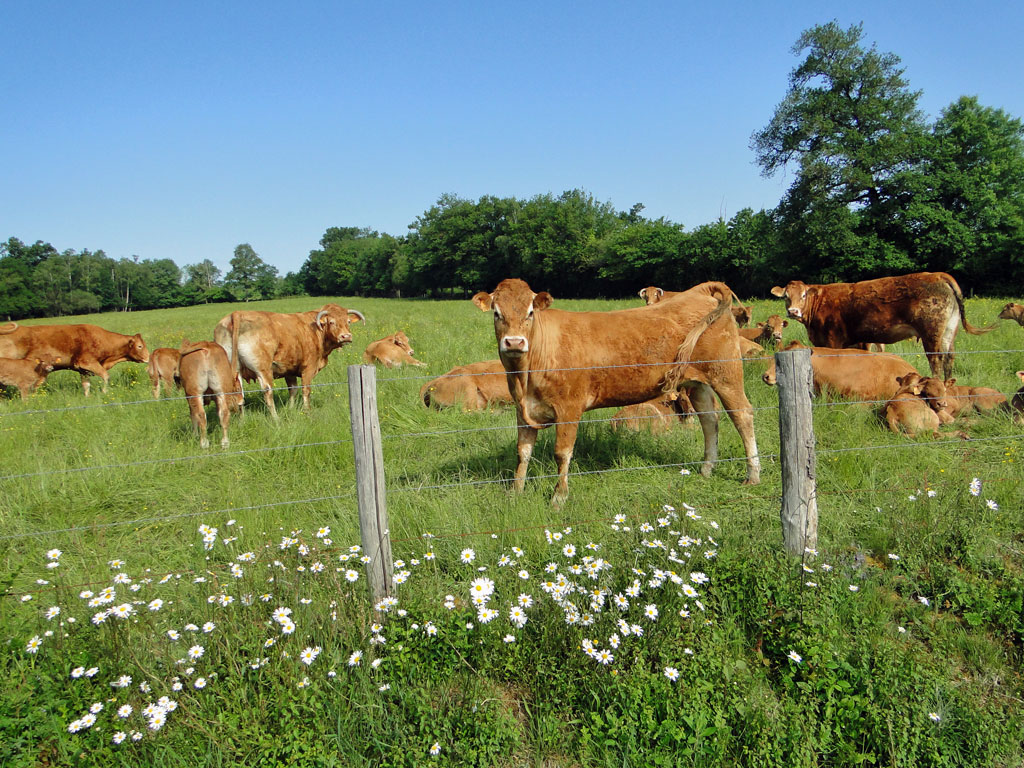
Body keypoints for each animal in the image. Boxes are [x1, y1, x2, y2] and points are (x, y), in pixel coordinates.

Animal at [0, 323, 149, 397]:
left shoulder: (83, 370)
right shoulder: (88, 362)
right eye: (140, 346)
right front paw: (104, 392)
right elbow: (106, 376)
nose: (148, 358)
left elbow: (86, 385)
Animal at [211, 305, 364, 421]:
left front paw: (290, 409)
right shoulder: (308, 368)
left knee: (239, 393)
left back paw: (242, 420)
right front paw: (307, 411)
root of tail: (237, 313)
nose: (346, 336)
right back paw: (275, 418)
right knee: (267, 391)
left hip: (235, 370)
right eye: (331, 322)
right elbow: (305, 390)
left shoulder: (289, 369)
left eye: (348, 321)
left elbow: (293, 389)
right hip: (263, 369)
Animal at [473, 280, 761, 507]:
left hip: (726, 374)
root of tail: (699, 291)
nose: (514, 342)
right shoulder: (523, 410)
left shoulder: (569, 408)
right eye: (496, 313)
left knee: (742, 415)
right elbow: (522, 452)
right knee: (710, 421)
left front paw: (558, 497)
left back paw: (753, 475)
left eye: (530, 312)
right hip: (697, 382)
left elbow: (562, 453)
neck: (525, 374)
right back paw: (706, 469)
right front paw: (515, 492)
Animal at [770, 272, 995, 380]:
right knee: (949, 358)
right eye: (786, 297)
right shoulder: (859, 340)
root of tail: (938, 274)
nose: (793, 312)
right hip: (949, 331)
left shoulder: (833, 339)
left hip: (931, 332)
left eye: (804, 295)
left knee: (936, 359)